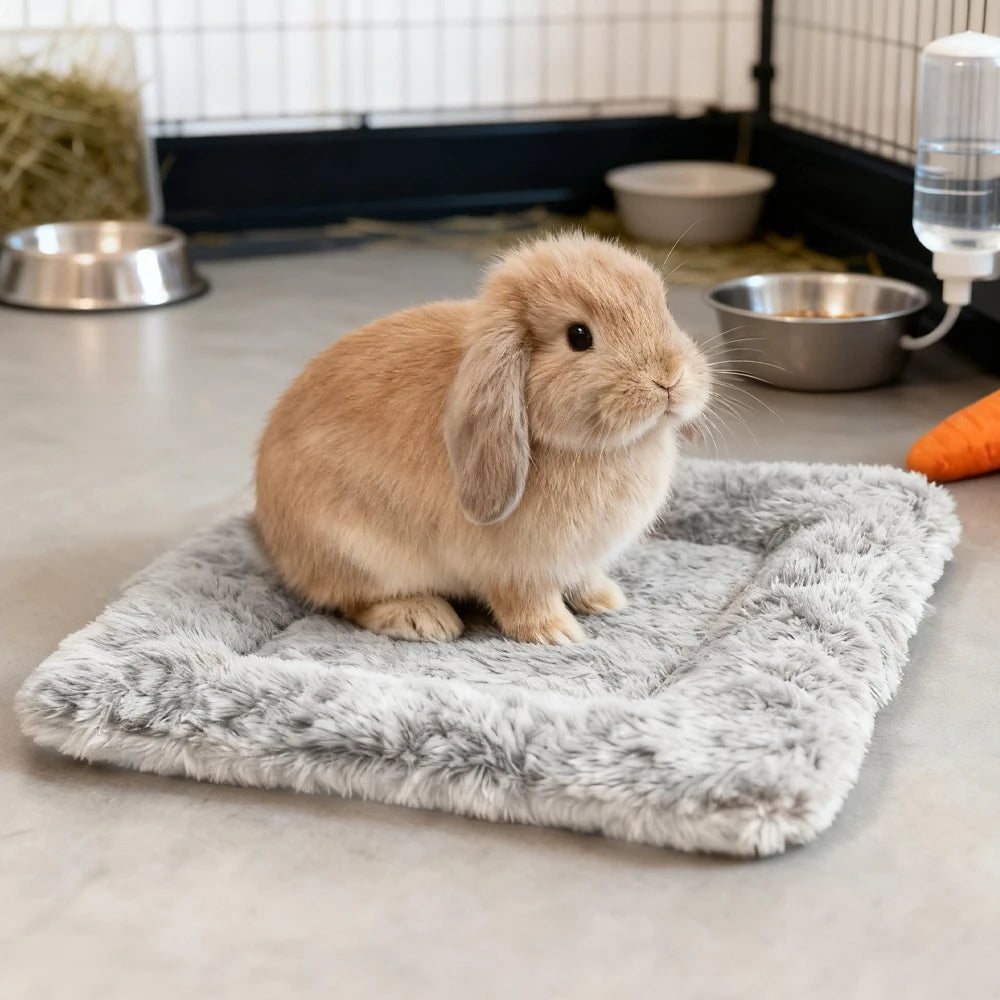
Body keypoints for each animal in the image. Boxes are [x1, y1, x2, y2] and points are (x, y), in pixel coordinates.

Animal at [255, 233, 711, 645]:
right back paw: (423, 619)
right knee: (351, 601)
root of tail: (271, 533)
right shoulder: (519, 569)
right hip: (358, 553)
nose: (669, 378)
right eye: (579, 336)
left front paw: (606, 599)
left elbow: (583, 577)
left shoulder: (579, 558)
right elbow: (525, 600)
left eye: (665, 307)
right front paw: (556, 633)